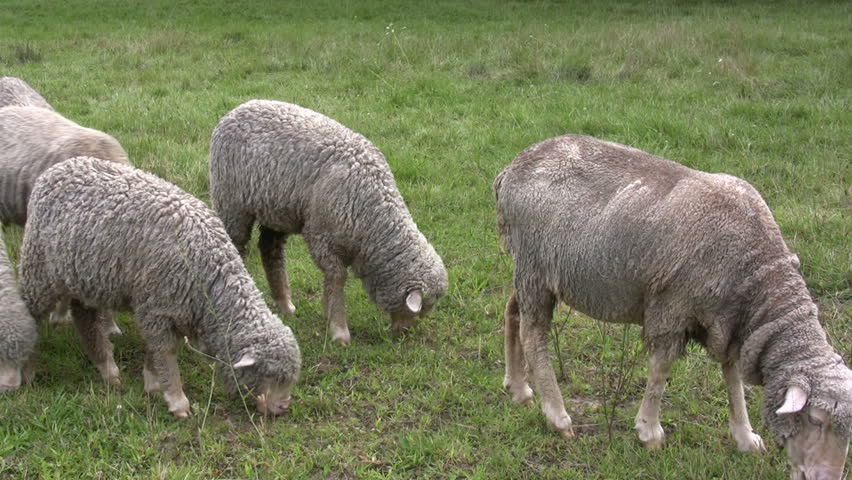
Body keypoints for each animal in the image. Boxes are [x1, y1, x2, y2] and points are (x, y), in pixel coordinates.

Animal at [19, 157, 302, 418]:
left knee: (84, 317)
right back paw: (27, 371)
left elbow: (154, 351)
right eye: (269, 376)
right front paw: (176, 400)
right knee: (32, 315)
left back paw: (108, 369)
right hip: (39, 270)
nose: (282, 408)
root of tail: (56, 168)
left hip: (84, 277)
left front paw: (152, 384)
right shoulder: (157, 309)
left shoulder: (164, 310)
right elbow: (165, 352)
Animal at [209, 99, 448, 346]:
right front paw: (339, 330)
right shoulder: (322, 238)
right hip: (232, 202)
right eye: (417, 310)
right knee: (237, 244)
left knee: (270, 251)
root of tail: (239, 107)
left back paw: (285, 304)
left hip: (275, 209)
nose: (403, 335)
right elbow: (337, 280)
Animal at [494, 134, 852, 479]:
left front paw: (745, 437)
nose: (827, 477)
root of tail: (511, 169)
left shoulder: (729, 323)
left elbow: (732, 377)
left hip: (527, 271)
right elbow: (660, 371)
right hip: (536, 267)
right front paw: (649, 431)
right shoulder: (671, 309)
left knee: (513, 312)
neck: (757, 274)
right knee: (533, 335)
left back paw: (519, 388)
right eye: (816, 420)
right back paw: (558, 417)